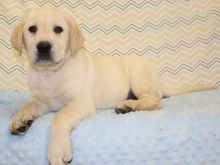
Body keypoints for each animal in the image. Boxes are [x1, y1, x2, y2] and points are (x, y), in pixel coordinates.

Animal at [9, 8, 212, 165]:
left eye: (58, 29)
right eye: (32, 29)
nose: (43, 46)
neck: (49, 74)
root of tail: (159, 81)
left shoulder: (81, 102)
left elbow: (60, 117)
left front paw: (57, 150)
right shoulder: (42, 100)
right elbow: (28, 104)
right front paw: (20, 119)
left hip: (137, 74)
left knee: (154, 101)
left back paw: (128, 105)